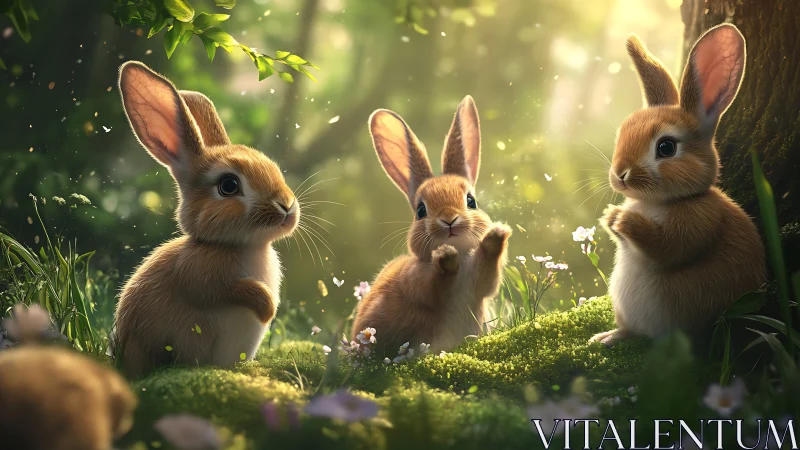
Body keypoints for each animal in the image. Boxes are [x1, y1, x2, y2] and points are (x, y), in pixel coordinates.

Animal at [113, 61, 299, 376]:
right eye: (229, 185)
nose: (286, 206)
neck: (244, 246)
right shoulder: (198, 274)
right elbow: (223, 290)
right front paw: (267, 308)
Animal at [351, 96, 512, 355]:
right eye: (421, 210)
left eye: (471, 201)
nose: (449, 219)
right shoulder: (416, 281)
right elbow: (433, 287)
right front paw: (446, 257)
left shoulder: (479, 285)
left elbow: (487, 277)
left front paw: (496, 235)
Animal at [589, 24, 767, 346]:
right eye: (622, 133)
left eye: (666, 147)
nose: (620, 175)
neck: (657, 202)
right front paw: (610, 217)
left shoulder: (699, 224)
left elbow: (667, 248)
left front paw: (622, 220)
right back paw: (606, 337)